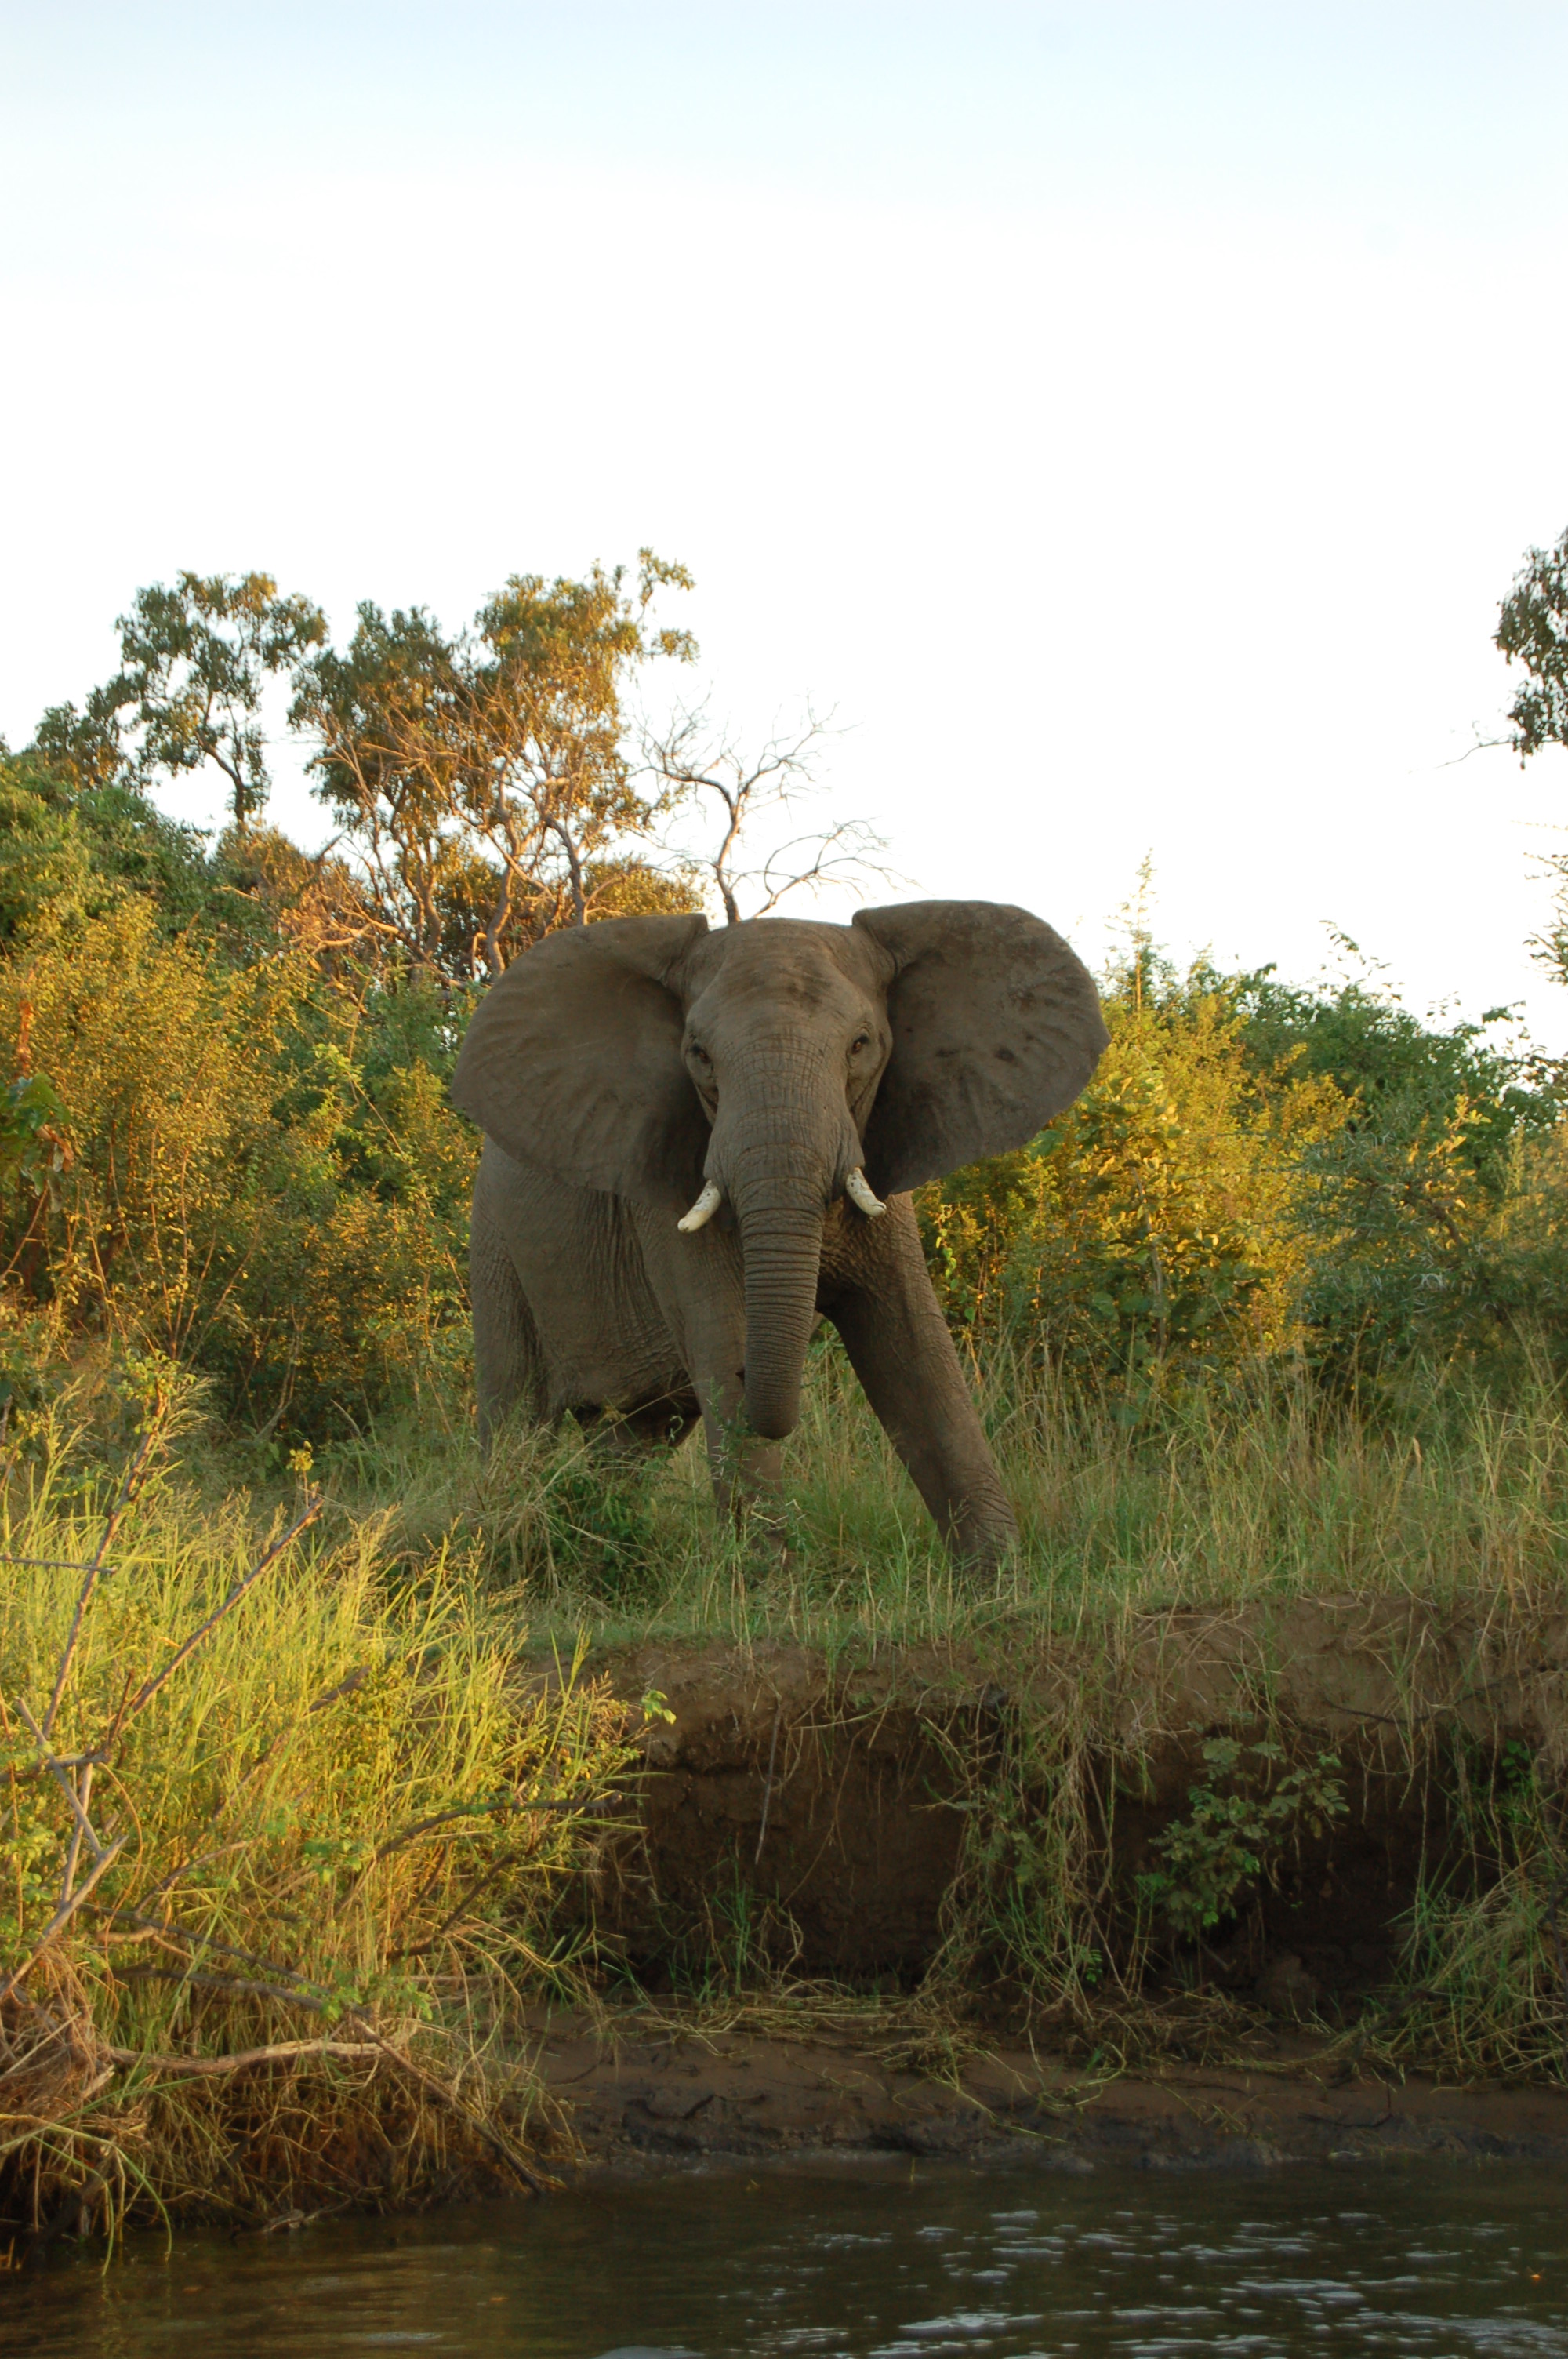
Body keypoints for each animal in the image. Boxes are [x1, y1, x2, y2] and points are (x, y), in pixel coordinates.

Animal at [452, 896, 1108, 1566]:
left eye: (860, 1045)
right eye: (699, 1055)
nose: (762, 1384)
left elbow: (916, 1352)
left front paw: (1001, 1578)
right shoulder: (668, 1194)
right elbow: (721, 1340)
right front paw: (770, 1582)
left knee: (634, 1441)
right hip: (495, 1244)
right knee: (515, 1418)